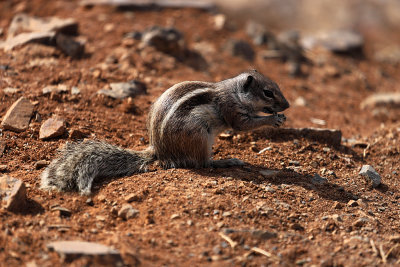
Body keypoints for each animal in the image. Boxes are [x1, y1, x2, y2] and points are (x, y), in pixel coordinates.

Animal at [40, 70, 290, 196]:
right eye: (268, 93)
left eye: (277, 86)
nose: (286, 106)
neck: (234, 91)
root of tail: (160, 152)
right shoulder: (233, 111)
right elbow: (243, 125)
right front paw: (274, 119)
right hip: (200, 137)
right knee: (202, 163)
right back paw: (226, 161)